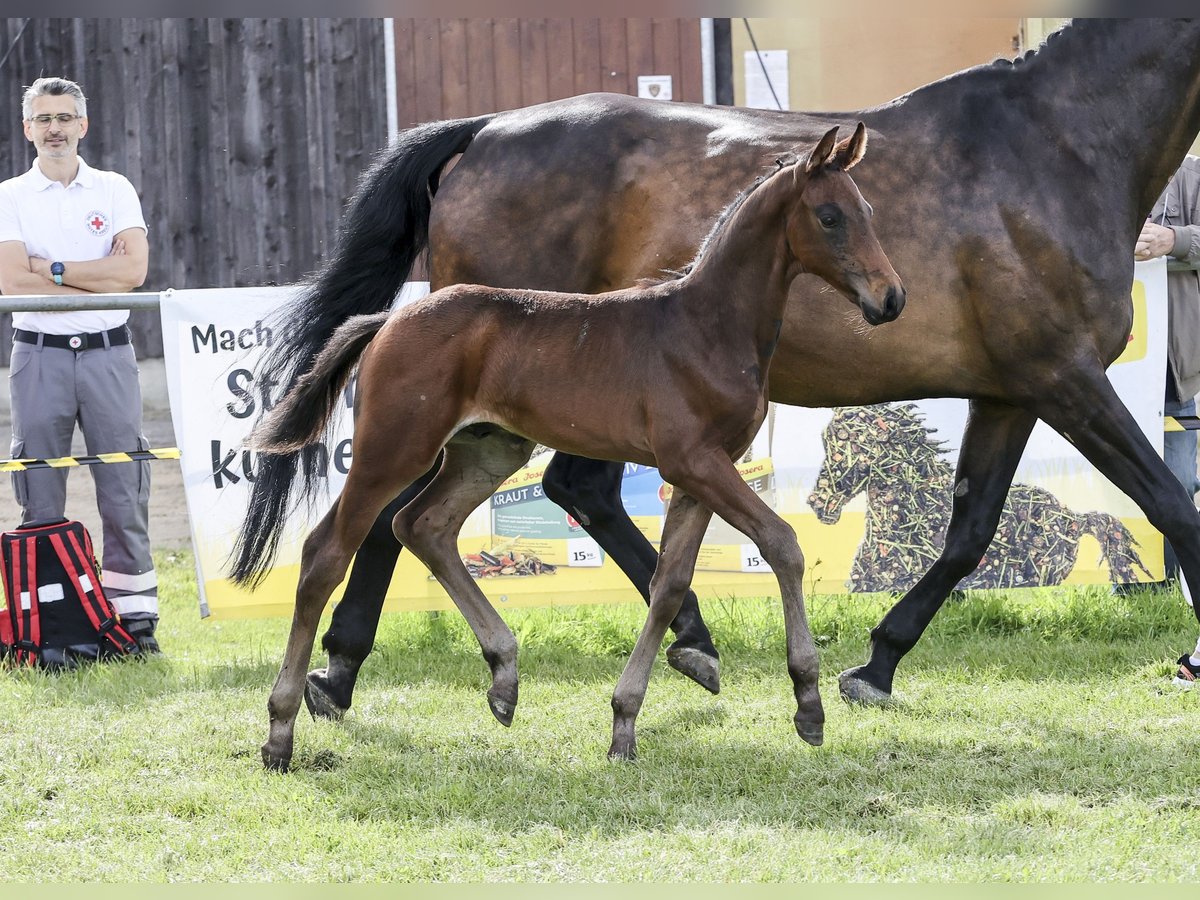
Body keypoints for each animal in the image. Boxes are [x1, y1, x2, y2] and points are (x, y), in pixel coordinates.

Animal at [253, 127, 902, 772]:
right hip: (392, 450)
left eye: (868, 211)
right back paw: (280, 731)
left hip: (489, 451)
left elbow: (669, 584)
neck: (708, 325)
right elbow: (782, 544)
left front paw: (624, 723)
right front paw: (808, 702)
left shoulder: (699, 473)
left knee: (423, 525)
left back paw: (504, 677)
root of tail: (389, 320)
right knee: (325, 554)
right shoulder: (694, 460)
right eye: (829, 217)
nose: (892, 299)